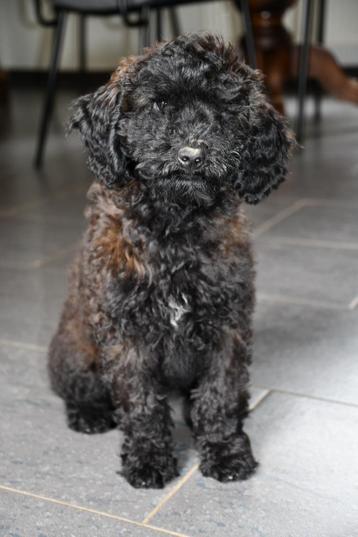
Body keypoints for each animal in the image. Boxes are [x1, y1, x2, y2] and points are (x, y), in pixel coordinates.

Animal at [48, 31, 294, 488]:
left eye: (224, 110)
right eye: (159, 105)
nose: (192, 155)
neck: (174, 227)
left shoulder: (227, 324)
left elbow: (219, 393)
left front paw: (225, 451)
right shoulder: (126, 333)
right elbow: (141, 402)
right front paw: (148, 459)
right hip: (76, 353)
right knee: (78, 389)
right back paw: (89, 415)